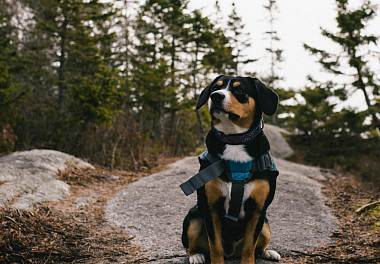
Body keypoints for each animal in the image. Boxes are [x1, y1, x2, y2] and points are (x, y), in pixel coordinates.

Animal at [180, 75, 280, 262]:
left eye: (239, 90)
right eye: (215, 88)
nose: (216, 96)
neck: (234, 139)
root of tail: (231, 251)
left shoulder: (258, 211)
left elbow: (249, 247)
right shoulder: (211, 209)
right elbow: (215, 246)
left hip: (266, 226)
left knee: (257, 247)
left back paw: (268, 252)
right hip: (193, 218)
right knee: (190, 245)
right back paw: (196, 256)